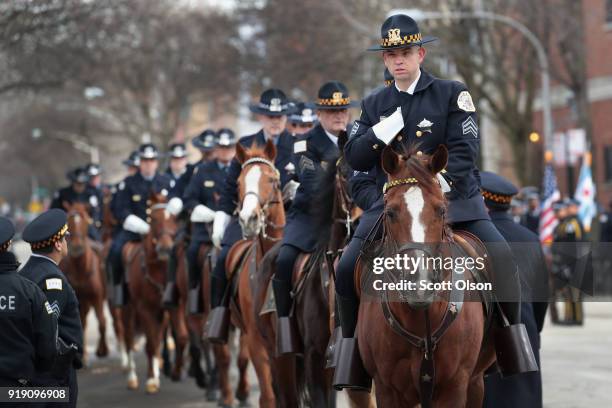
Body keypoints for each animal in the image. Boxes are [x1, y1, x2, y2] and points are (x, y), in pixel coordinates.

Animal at [62, 201, 109, 364]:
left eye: (84, 221)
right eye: (68, 220)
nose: (77, 246)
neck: (80, 268)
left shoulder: (97, 297)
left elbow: (102, 322)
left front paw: (102, 350)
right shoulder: (78, 301)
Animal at [120, 193, 185, 394]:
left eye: (174, 219)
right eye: (153, 219)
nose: (165, 248)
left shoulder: (171, 308)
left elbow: (177, 337)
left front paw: (158, 375)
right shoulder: (145, 309)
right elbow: (149, 344)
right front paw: (150, 379)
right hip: (127, 311)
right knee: (128, 339)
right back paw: (132, 377)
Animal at [356, 146, 494, 408]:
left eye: (441, 210)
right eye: (390, 212)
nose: (419, 285)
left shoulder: (454, 387)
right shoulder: (387, 389)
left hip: (475, 383)